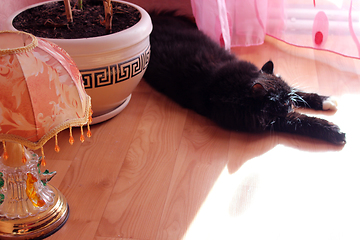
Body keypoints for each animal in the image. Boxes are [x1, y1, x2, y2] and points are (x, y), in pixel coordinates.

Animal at [143, 11, 346, 144]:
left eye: (287, 97)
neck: (238, 86)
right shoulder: (276, 120)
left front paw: (326, 101)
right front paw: (336, 131)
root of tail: (153, 15)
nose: (289, 104)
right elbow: (302, 121)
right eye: (279, 102)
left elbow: (301, 93)